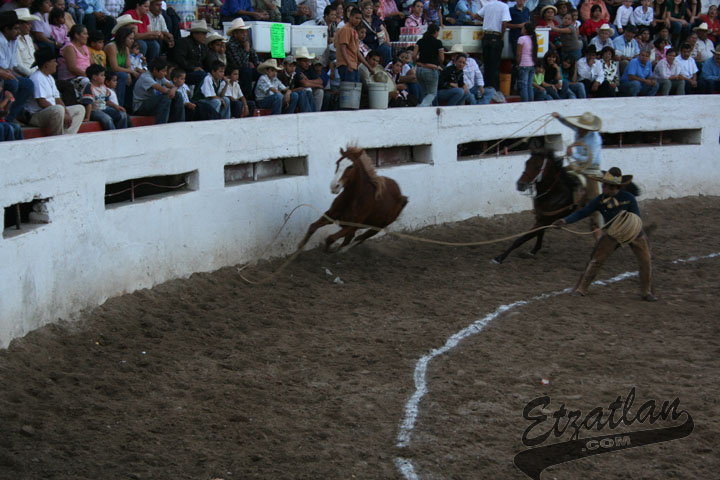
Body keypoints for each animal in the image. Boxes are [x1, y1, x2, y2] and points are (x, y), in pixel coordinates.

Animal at [492, 148, 640, 264]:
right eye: (527, 163)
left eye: (538, 166)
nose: (520, 185)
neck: (554, 191)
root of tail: (619, 181)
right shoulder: (542, 217)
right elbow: (539, 233)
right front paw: (534, 250)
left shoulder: (545, 219)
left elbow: (523, 238)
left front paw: (499, 258)